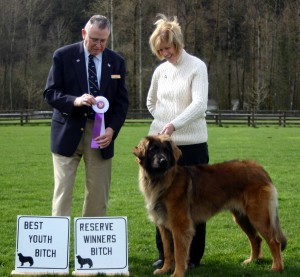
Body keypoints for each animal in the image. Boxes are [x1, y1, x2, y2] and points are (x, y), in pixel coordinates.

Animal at [133, 135, 286, 276]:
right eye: (153, 150)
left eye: (166, 150)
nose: (163, 161)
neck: (163, 180)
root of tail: (260, 168)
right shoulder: (163, 226)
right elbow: (167, 252)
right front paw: (164, 270)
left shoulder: (180, 226)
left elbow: (178, 253)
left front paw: (177, 273)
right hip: (242, 217)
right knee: (256, 239)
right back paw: (252, 261)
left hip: (258, 216)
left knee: (274, 241)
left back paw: (276, 267)